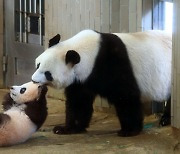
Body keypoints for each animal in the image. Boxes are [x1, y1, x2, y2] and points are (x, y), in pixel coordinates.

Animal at [31, 29, 171, 137]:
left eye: (48, 73)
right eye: (38, 65)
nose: (34, 80)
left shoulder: (113, 63)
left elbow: (126, 96)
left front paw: (129, 130)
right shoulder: (81, 78)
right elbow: (79, 101)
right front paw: (67, 128)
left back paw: (165, 120)